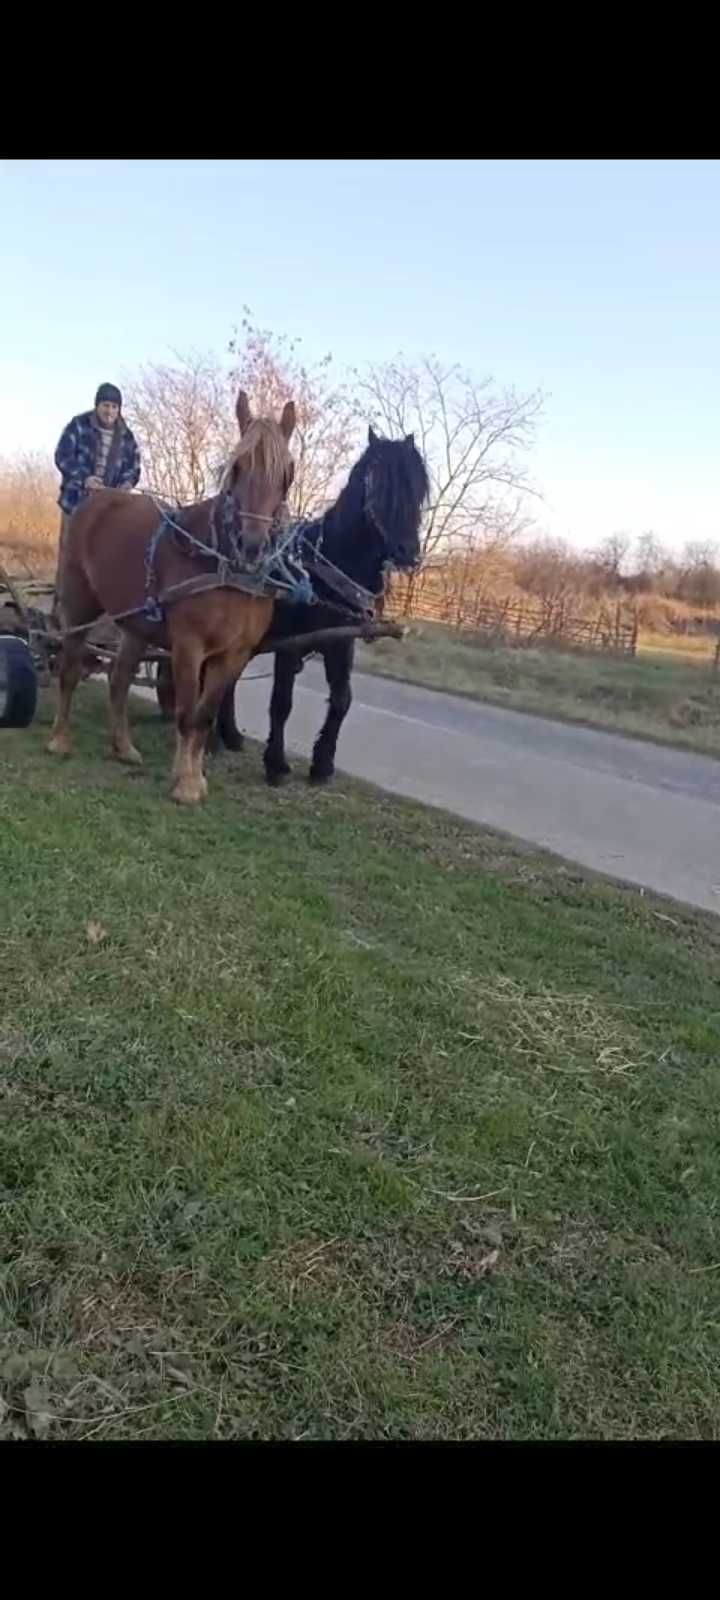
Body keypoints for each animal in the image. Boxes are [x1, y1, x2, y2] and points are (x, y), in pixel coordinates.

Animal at [49, 385, 294, 806]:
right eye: (237, 467)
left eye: (286, 475)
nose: (251, 545)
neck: (223, 566)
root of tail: (98, 496)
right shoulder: (188, 646)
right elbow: (186, 712)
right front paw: (185, 782)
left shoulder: (234, 654)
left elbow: (205, 714)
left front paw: (196, 778)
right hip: (80, 601)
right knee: (70, 666)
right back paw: (60, 739)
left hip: (135, 623)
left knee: (118, 678)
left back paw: (123, 747)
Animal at [214, 425, 428, 780]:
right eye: (377, 483)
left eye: (419, 489)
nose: (407, 552)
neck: (328, 564)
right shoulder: (290, 645)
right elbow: (282, 702)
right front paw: (276, 762)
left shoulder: (341, 644)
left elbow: (342, 699)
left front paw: (323, 763)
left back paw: (227, 734)